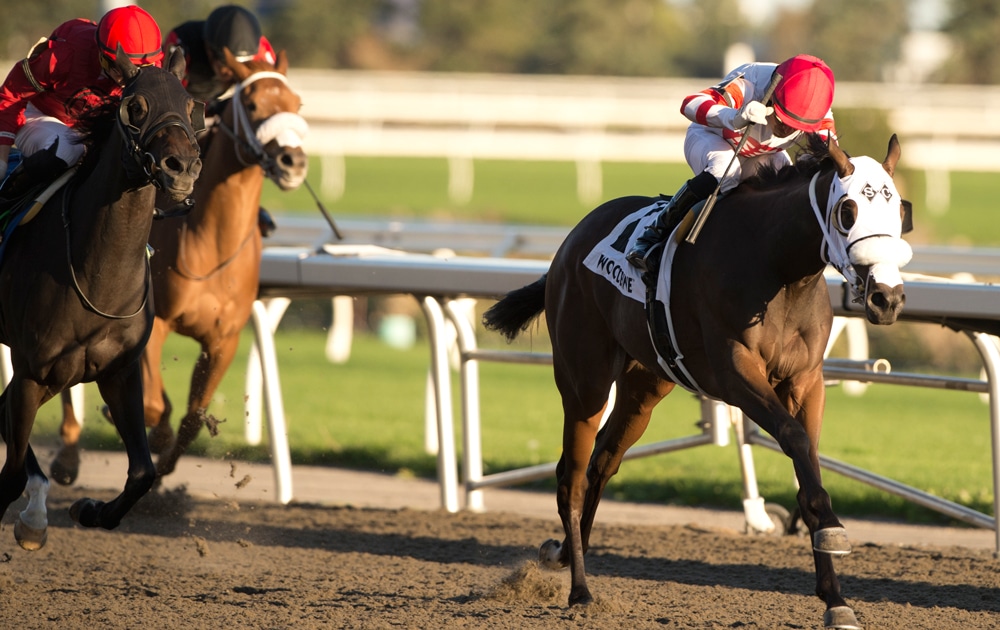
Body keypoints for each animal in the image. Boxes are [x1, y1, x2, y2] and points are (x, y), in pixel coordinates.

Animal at [0, 47, 203, 550]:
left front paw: (88, 509)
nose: (182, 167)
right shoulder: (34, 372)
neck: (98, 274)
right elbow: (9, 476)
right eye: (136, 106)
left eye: (193, 106)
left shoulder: (119, 371)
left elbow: (144, 473)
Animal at [46, 47, 308, 483]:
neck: (210, 245)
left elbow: (194, 416)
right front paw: (146, 430)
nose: (293, 161)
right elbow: (154, 405)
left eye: (297, 104)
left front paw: (166, 460)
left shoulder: (223, 340)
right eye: (253, 104)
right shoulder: (155, 325)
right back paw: (66, 455)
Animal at [482, 135, 912, 630]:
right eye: (848, 209)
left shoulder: (806, 381)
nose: (887, 297)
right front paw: (834, 534)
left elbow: (808, 464)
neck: (778, 267)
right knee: (571, 475)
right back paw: (580, 590)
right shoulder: (734, 373)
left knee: (602, 462)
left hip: (644, 387)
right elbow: (795, 439)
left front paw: (836, 598)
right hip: (583, 378)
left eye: (899, 209)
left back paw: (569, 554)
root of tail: (572, 241)